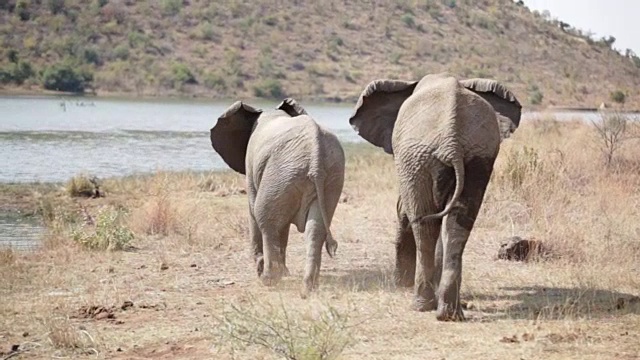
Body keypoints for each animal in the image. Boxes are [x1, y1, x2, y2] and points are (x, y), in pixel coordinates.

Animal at [210, 97, 344, 294]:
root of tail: (315, 152)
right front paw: (285, 272)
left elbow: (253, 210)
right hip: (328, 177)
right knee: (315, 228)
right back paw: (308, 287)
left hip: (282, 173)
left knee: (265, 218)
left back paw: (268, 280)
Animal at [350, 73, 520, 320]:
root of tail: (452, 141)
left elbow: (404, 208)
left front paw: (402, 284)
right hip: (478, 157)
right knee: (458, 224)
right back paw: (449, 313)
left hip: (418, 157)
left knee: (424, 224)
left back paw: (422, 305)